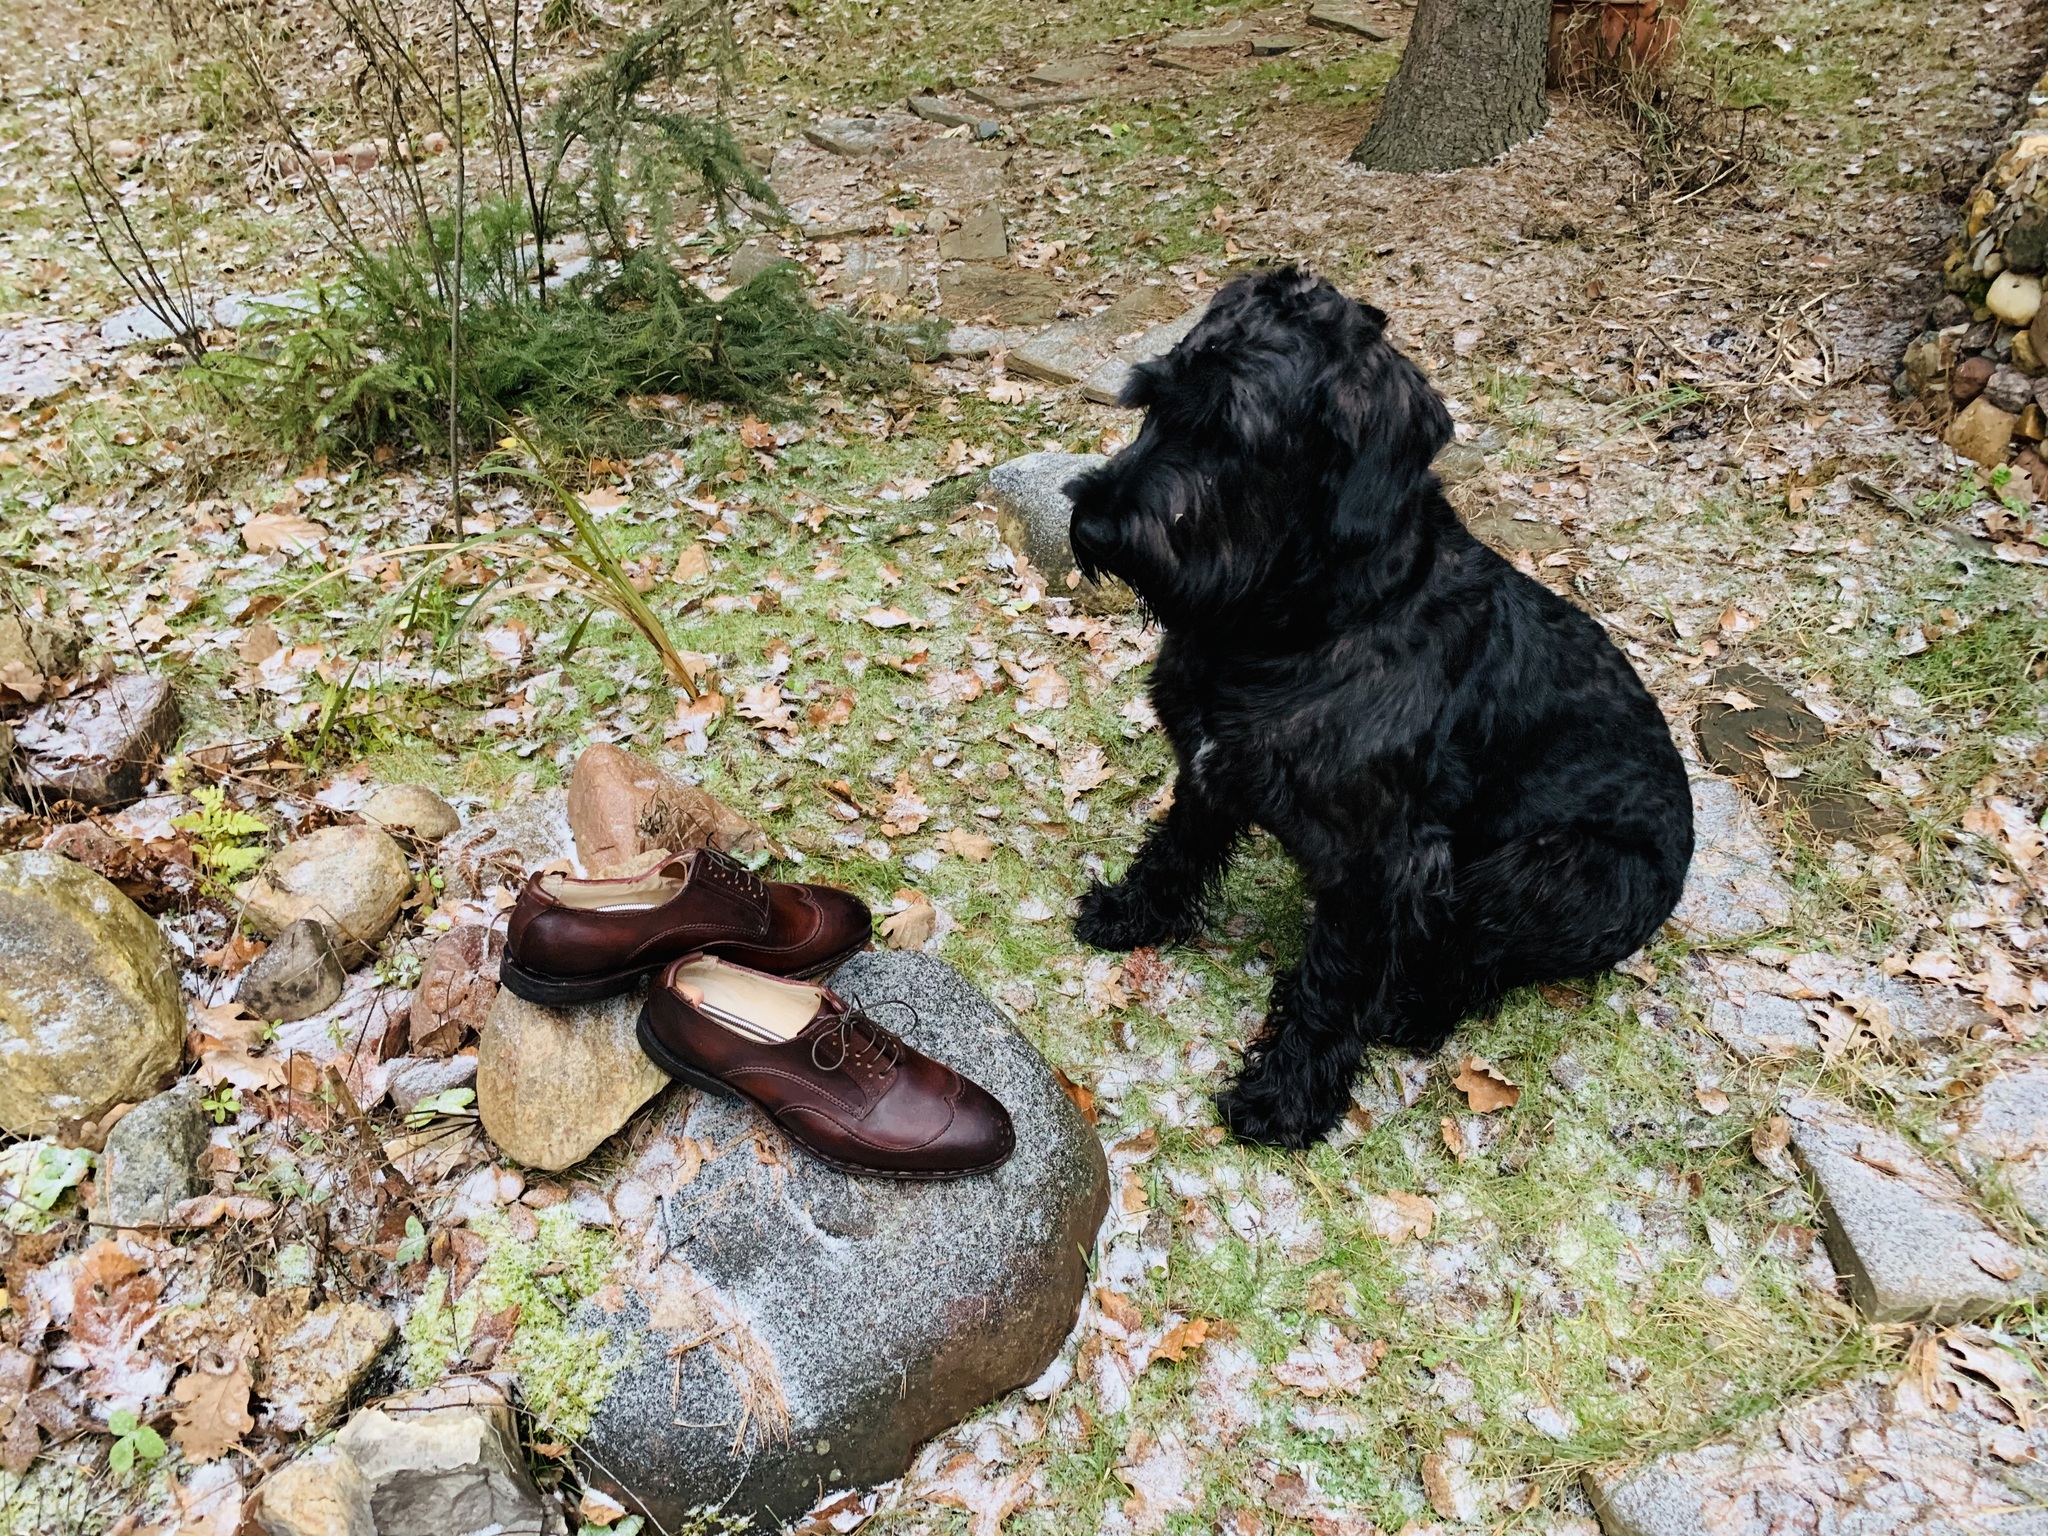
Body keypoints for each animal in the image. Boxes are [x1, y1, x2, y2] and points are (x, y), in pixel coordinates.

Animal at [1064, 270, 1687, 1146]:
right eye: (1152, 400)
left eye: (1233, 434)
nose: (1093, 525)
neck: (1308, 618)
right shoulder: (1211, 771)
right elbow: (1175, 850)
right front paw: (1130, 913)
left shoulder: (1379, 868)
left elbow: (1331, 987)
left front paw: (1285, 1098)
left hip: (1549, 869)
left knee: (1477, 963)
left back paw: (1412, 1009)